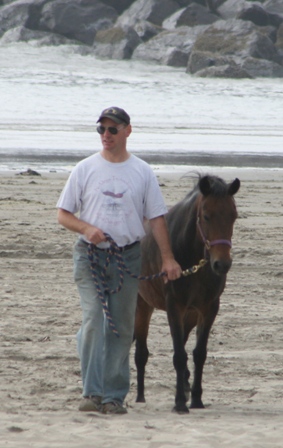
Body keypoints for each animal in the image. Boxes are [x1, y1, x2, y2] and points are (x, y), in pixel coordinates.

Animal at [134, 175, 241, 412]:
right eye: (206, 216)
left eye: (234, 216)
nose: (222, 264)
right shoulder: (174, 306)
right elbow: (179, 356)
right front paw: (180, 403)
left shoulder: (208, 308)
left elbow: (198, 354)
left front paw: (196, 398)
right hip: (142, 304)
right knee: (141, 352)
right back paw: (140, 397)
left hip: (190, 315)